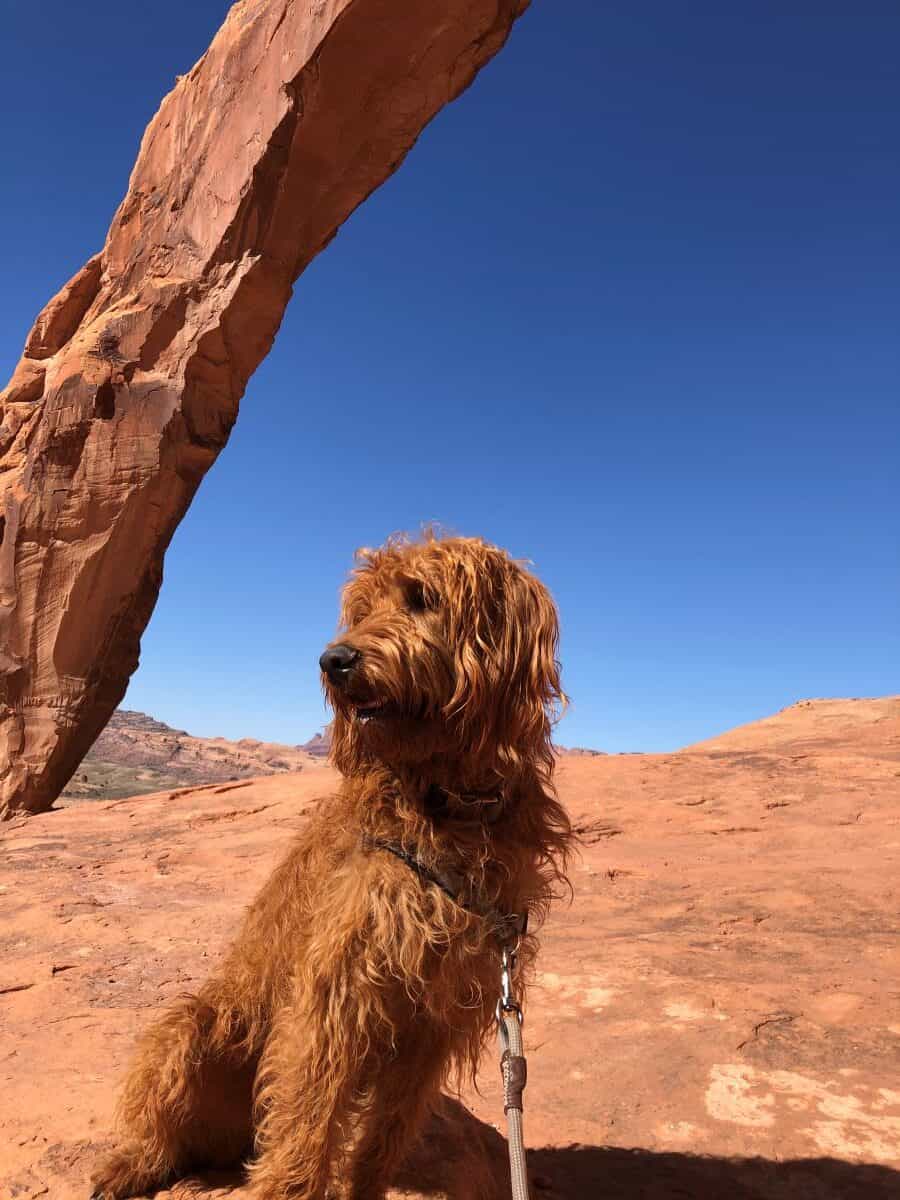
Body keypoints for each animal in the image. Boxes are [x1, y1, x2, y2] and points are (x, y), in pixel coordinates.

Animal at [91, 535, 571, 1200]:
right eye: (361, 610)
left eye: (421, 597)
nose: (332, 660)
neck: (447, 804)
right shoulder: (338, 987)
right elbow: (310, 1111)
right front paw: (285, 1187)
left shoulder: (437, 1018)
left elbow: (388, 1126)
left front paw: (364, 1185)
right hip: (194, 1024)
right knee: (165, 1131)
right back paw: (129, 1164)